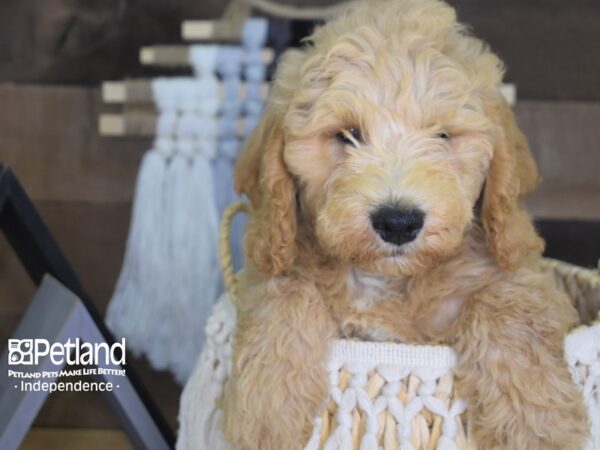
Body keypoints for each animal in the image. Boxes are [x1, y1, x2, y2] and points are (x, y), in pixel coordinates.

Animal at [219, 0, 584, 450]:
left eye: (443, 135)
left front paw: (537, 425)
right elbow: (284, 293)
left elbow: (509, 309)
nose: (397, 222)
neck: (387, 280)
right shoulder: (275, 259)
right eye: (347, 134)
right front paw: (266, 414)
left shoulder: (522, 274)